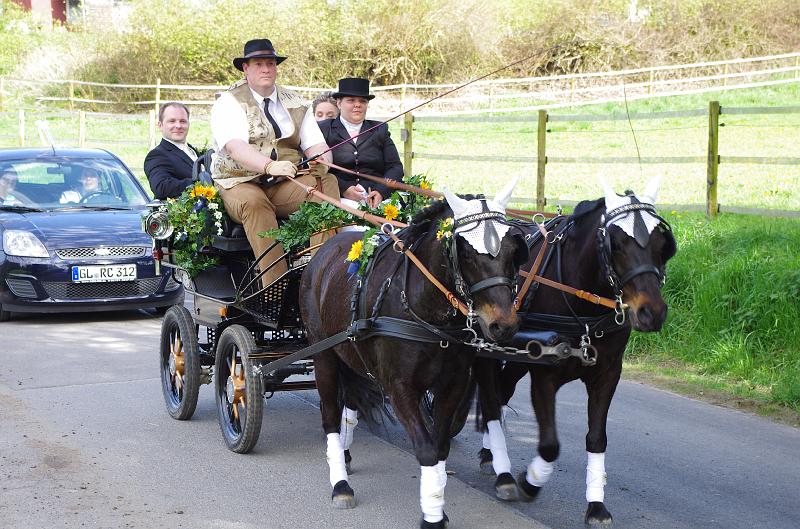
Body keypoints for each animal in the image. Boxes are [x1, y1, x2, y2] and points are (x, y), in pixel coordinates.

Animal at [296, 183, 528, 528]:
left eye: (513, 251)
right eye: (466, 252)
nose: (504, 324)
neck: (425, 310)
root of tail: (325, 249)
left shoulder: (452, 386)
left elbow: (441, 446)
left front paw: (437, 505)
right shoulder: (400, 389)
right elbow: (427, 450)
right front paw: (432, 516)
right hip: (323, 353)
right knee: (329, 415)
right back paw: (340, 484)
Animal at [476, 177, 676, 524]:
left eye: (660, 243)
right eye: (616, 244)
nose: (653, 312)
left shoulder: (607, 374)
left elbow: (596, 438)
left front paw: (596, 505)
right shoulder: (545, 375)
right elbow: (550, 445)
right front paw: (530, 482)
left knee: (501, 393)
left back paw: (491, 453)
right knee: (491, 399)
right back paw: (500, 467)